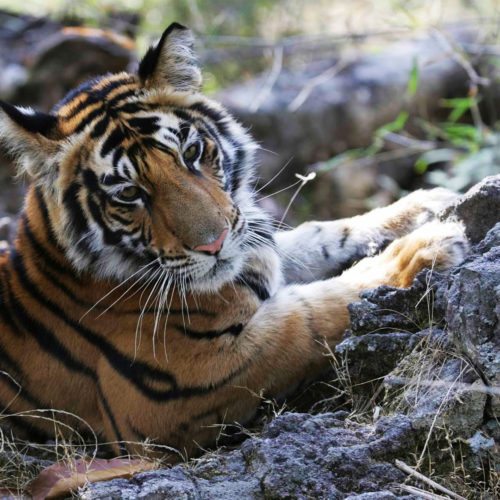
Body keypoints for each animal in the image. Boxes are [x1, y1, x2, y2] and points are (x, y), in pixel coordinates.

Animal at [0, 22, 468, 460]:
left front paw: (426, 205)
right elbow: (312, 316)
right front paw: (424, 250)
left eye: (190, 153)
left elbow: (318, 234)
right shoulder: (177, 386)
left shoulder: (255, 247)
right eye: (129, 193)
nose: (215, 244)